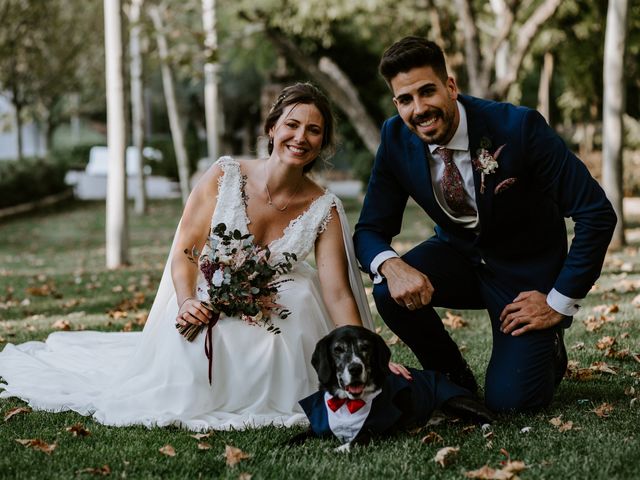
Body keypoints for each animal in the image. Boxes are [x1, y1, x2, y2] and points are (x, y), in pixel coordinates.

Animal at [292, 326, 498, 450]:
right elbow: (297, 437)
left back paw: (487, 427)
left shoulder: (379, 430)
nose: (355, 368)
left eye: (365, 347)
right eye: (338, 349)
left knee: (493, 417)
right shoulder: (318, 427)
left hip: (454, 400)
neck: (346, 403)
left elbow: (359, 438)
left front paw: (340, 448)